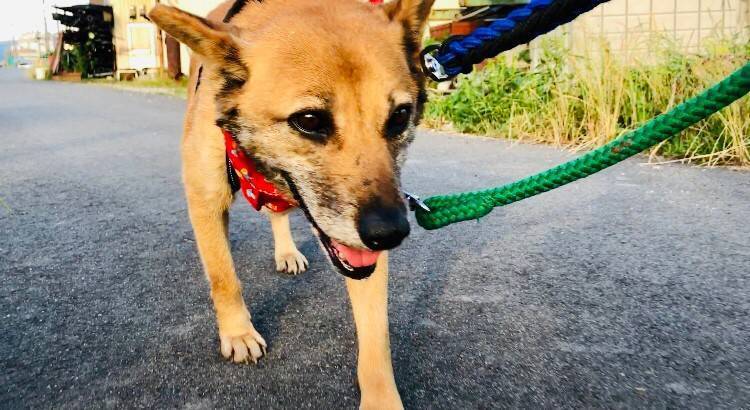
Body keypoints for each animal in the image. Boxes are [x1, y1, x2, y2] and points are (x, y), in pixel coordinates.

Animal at [148, 0, 433, 407]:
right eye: (310, 120)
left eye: (399, 116)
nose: (390, 234)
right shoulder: (205, 201)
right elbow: (223, 277)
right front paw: (238, 332)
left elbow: (376, 335)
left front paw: (381, 397)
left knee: (277, 213)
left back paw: (285, 250)